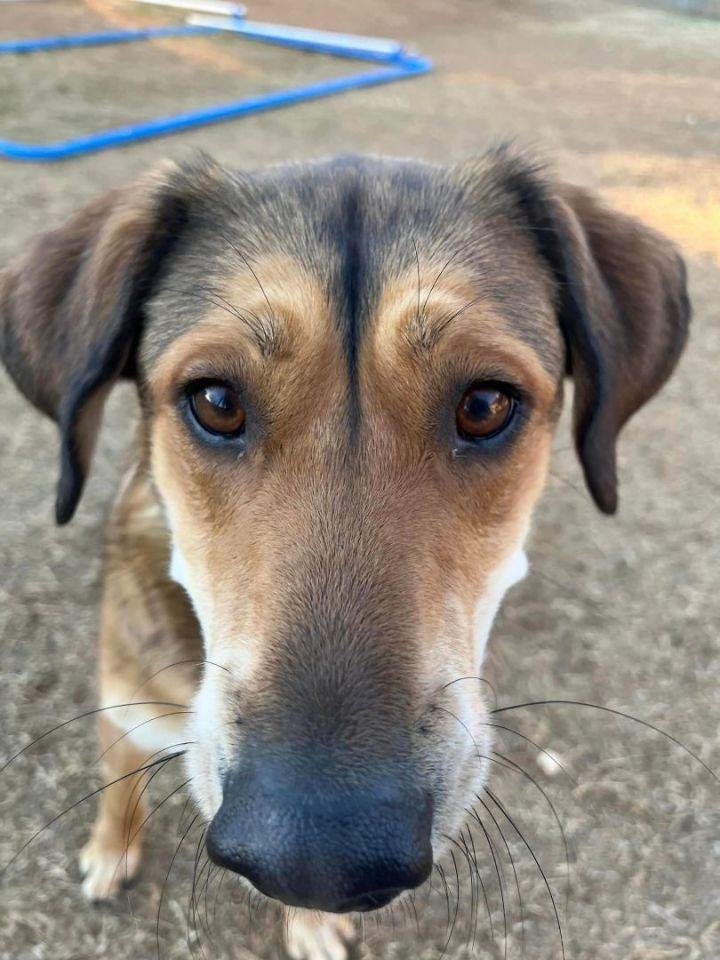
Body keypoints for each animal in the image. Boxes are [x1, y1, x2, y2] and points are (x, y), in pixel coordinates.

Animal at [0, 150, 688, 960]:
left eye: (485, 405)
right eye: (216, 402)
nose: (316, 858)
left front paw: (312, 922)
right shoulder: (126, 705)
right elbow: (118, 787)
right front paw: (111, 849)